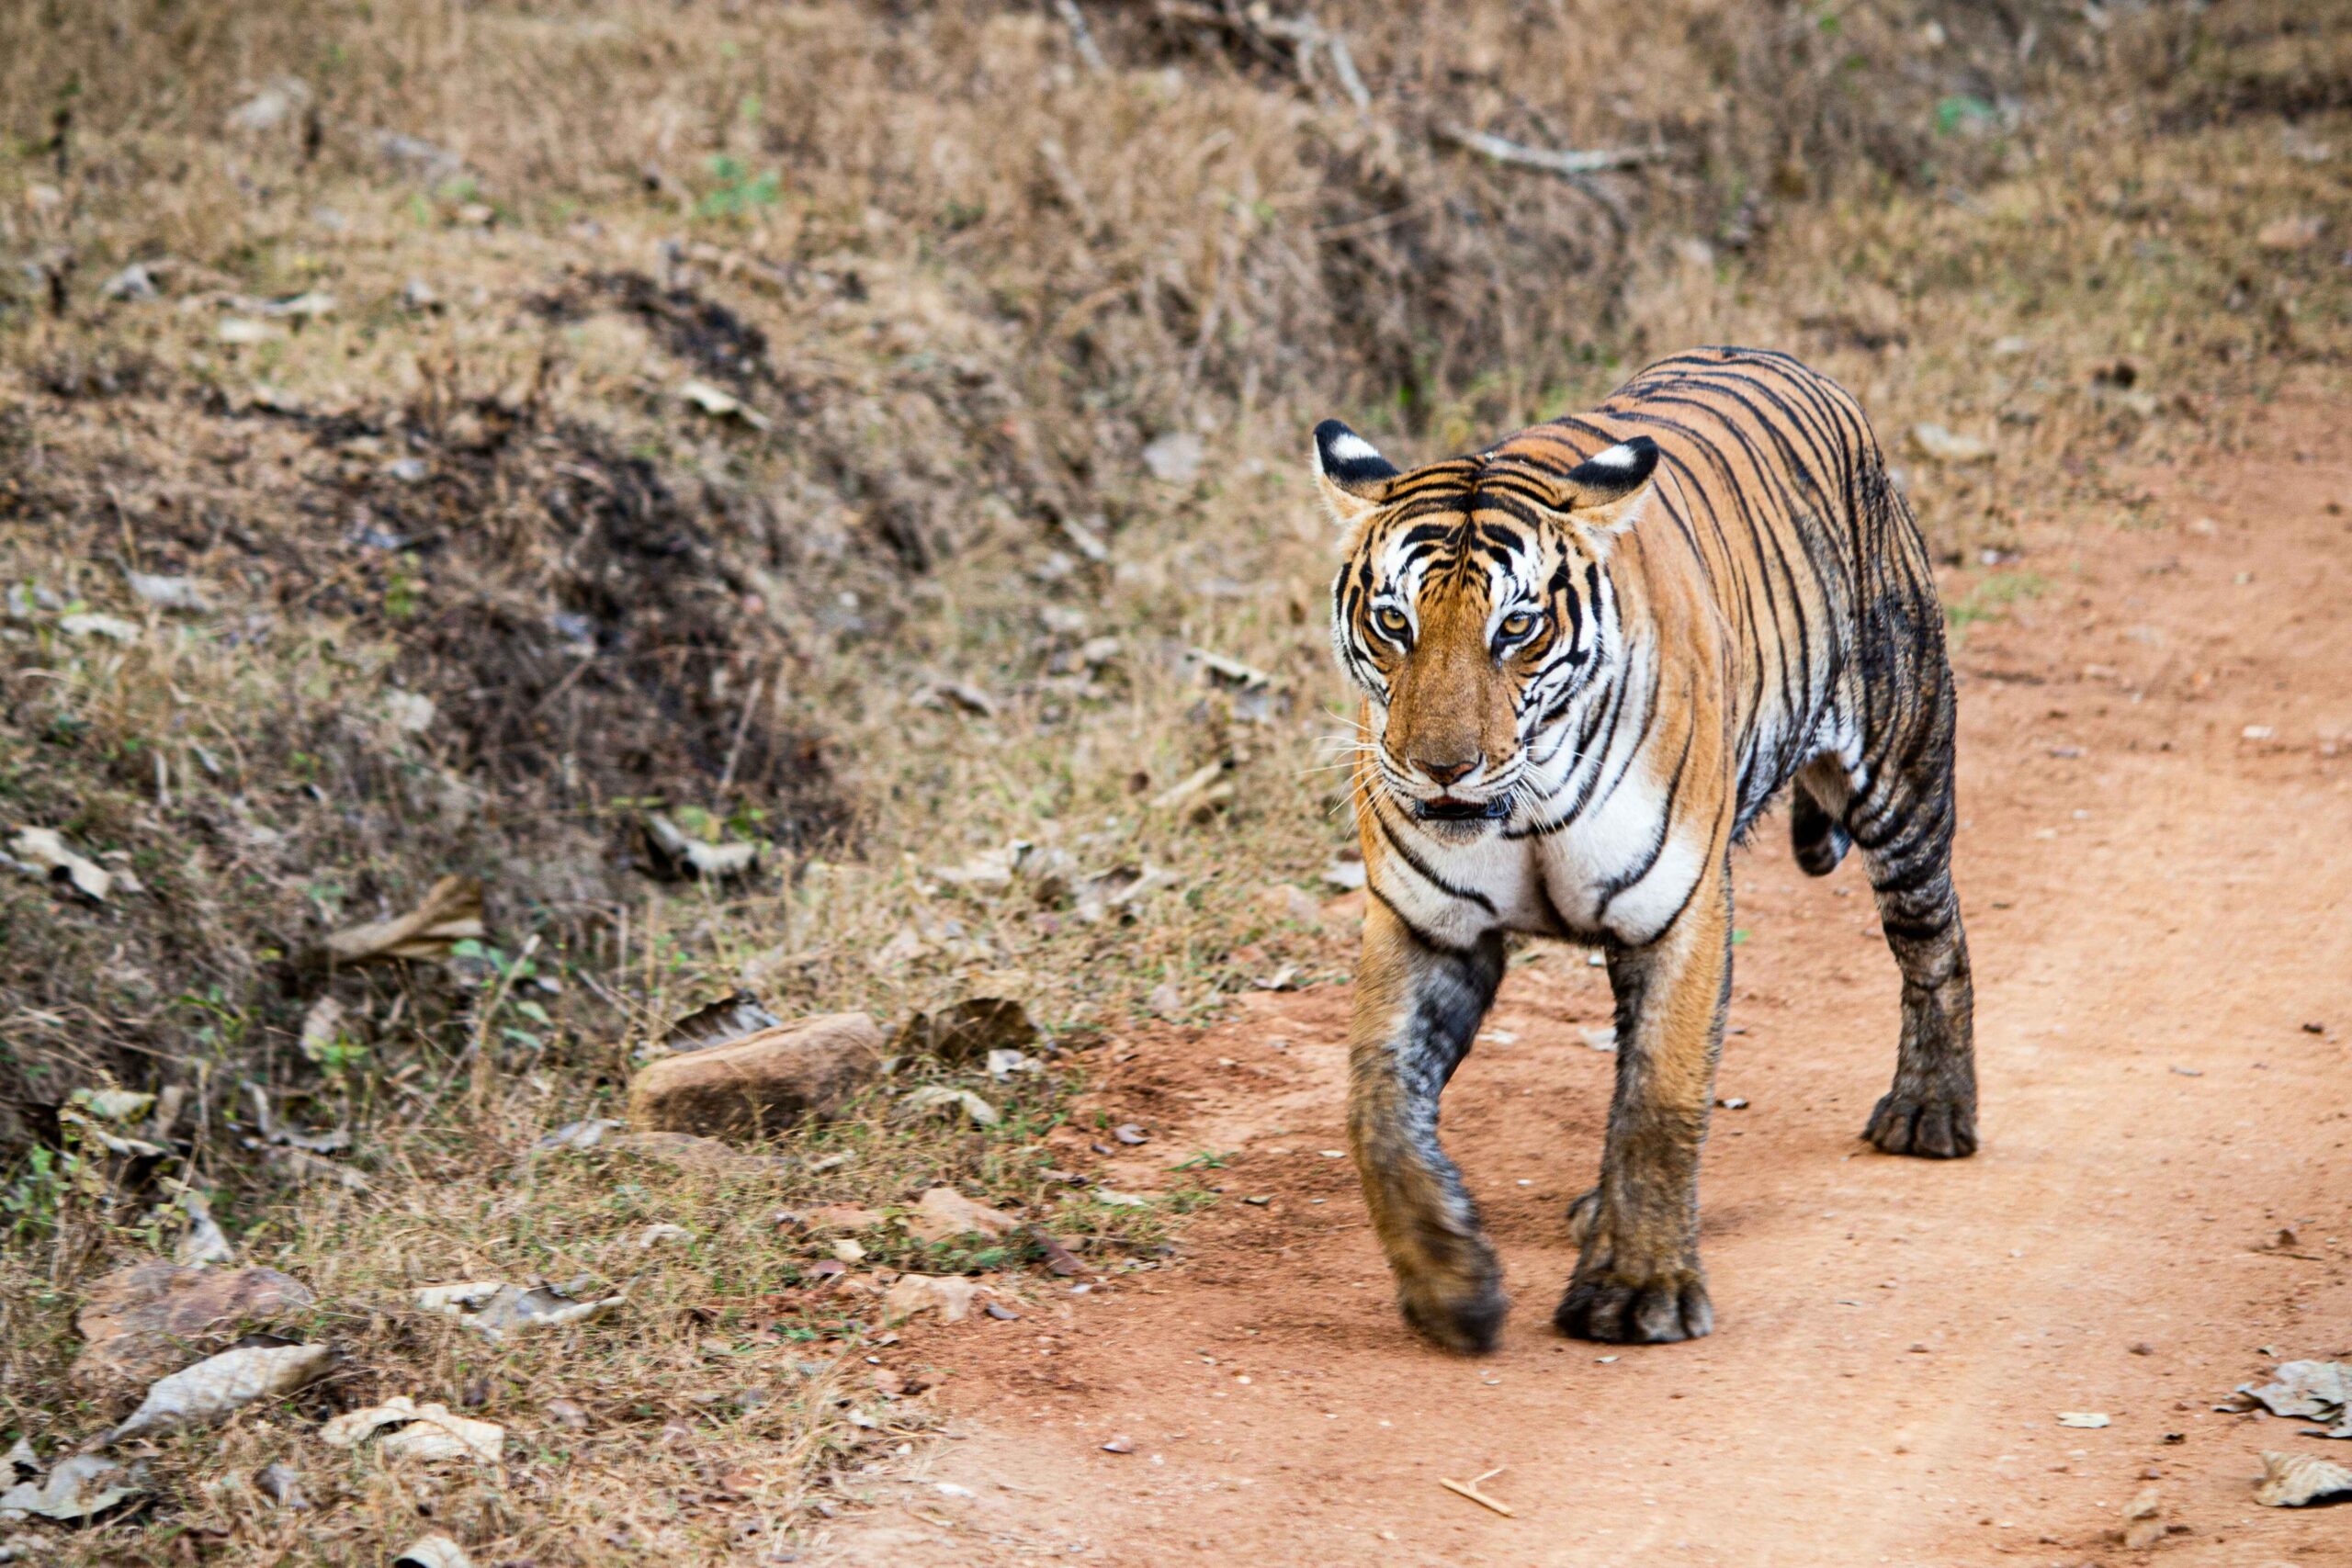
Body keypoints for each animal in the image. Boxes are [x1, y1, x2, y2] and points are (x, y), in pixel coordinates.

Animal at [1315, 346, 1975, 1351]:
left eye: (1517, 628)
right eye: (1394, 623)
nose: (1441, 768)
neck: (1524, 804)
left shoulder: (1681, 912)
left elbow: (1661, 1099)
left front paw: (1637, 1289)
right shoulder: (1426, 928)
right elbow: (1377, 1105)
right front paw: (1450, 1286)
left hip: (1901, 776)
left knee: (1934, 941)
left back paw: (1931, 1110)